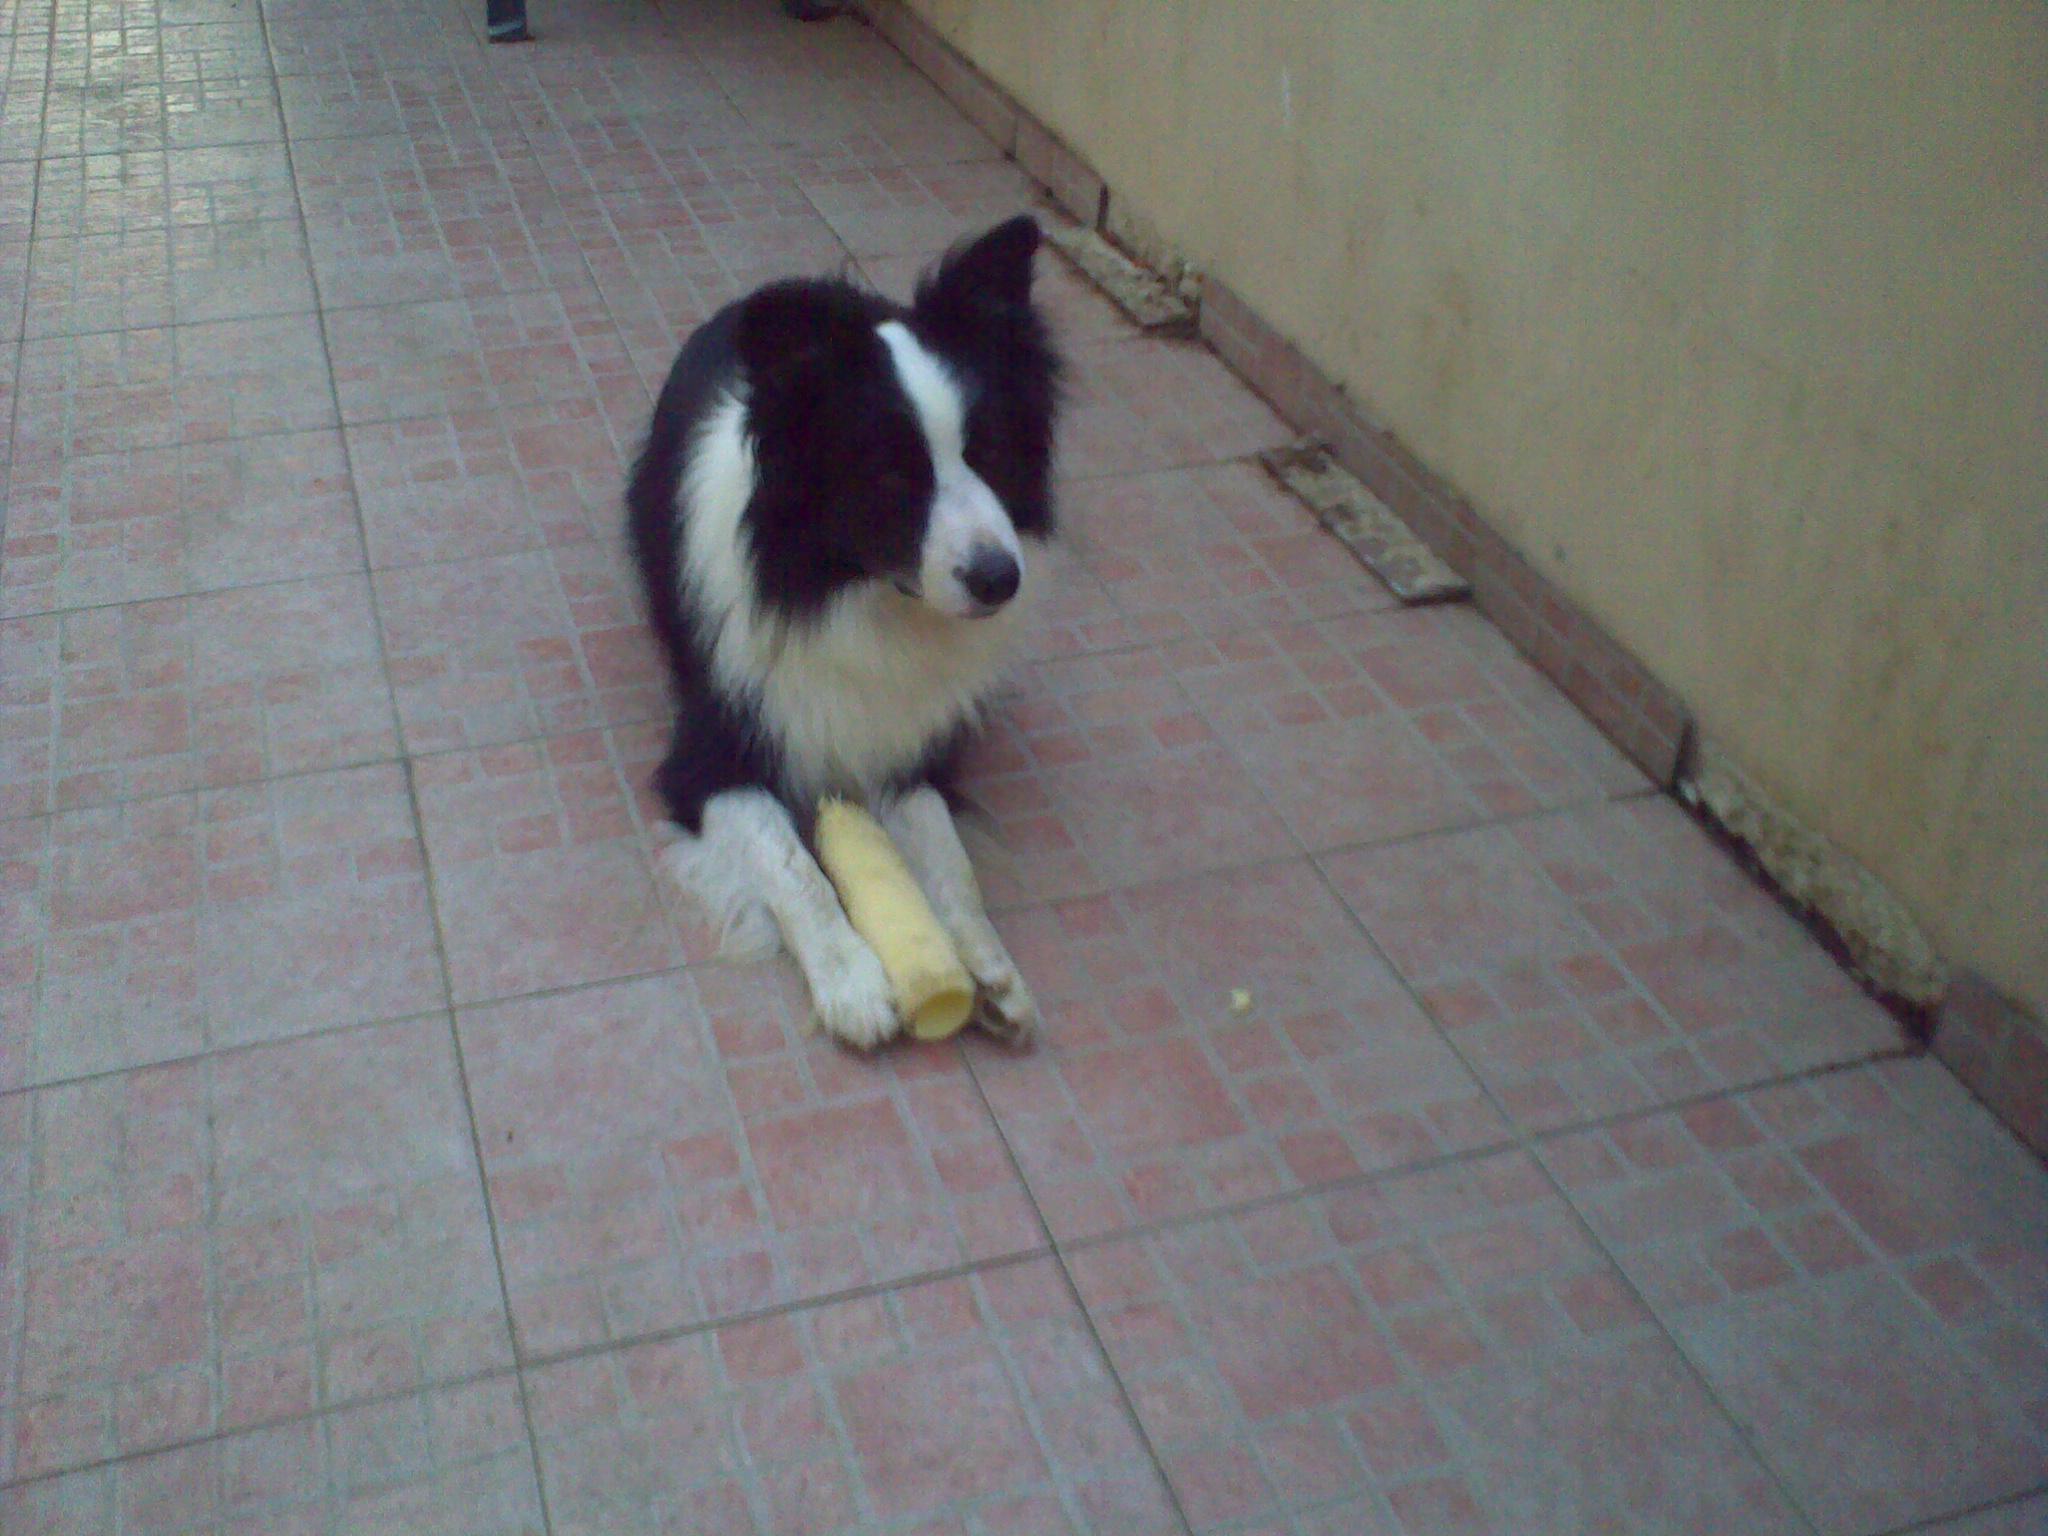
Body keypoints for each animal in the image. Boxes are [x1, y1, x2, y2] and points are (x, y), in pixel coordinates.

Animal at [626, 217, 1064, 1056]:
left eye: (990, 452)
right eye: (891, 477)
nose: (1001, 579)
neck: (857, 596)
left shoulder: (911, 741)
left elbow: (949, 859)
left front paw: (988, 967)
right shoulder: (710, 755)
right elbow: (792, 865)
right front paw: (854, 982)